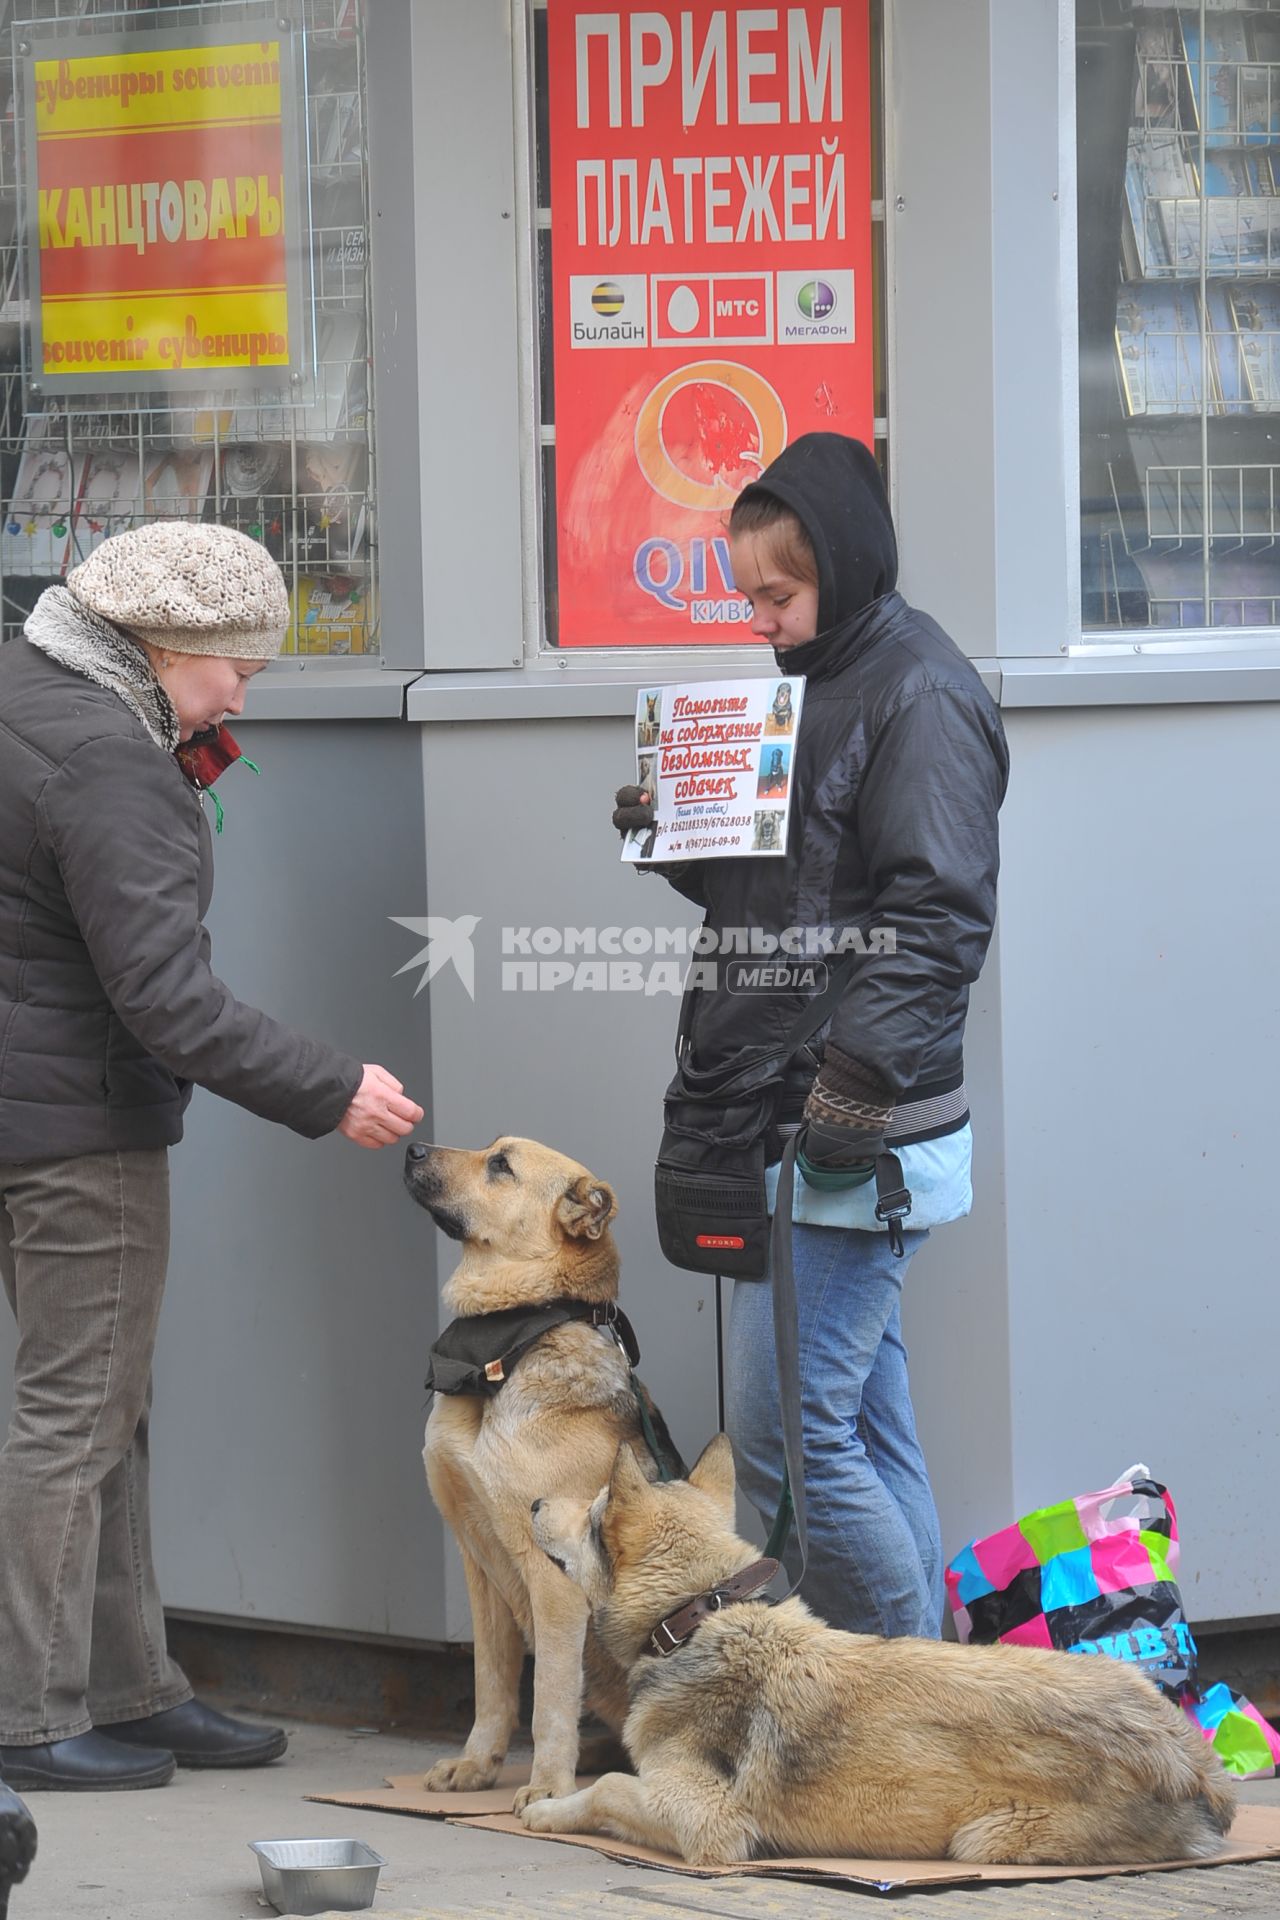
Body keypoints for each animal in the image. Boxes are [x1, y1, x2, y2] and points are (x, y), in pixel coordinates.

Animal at [525, 1443, 1235, 1866]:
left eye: (591, 1509)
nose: (531, 1502)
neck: (702, 1612)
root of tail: (1193, 1762)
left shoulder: (710, 1827)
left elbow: (607, 1789)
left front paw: (546, 1809)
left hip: (981, 1840)